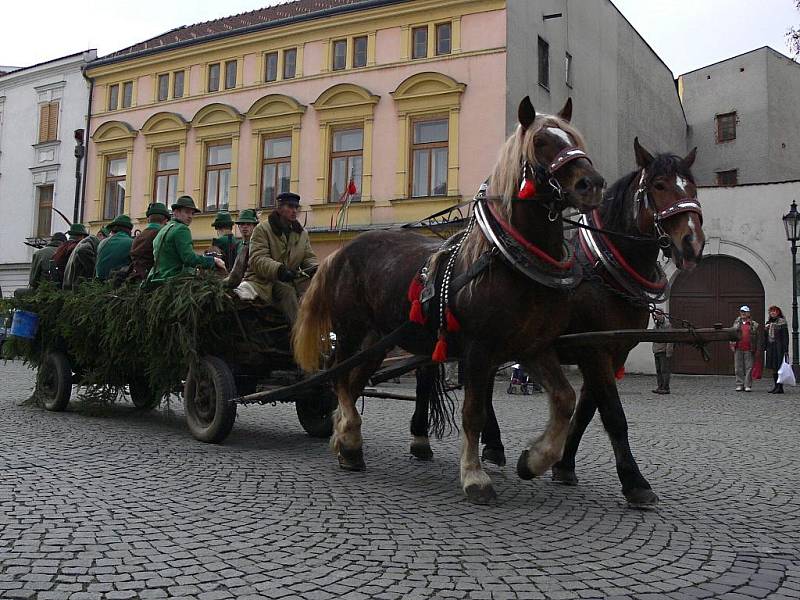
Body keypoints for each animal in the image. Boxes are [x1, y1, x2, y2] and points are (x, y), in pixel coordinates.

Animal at [296, 97, 604, 502]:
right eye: (540, 143)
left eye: (572, 138)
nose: (591, 184)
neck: (509, 261)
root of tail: (341, 251)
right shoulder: (478, 350)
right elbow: (473, 413)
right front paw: (474, 476)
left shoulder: (532, 348)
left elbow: (565, 399)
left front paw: (534, 460)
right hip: (350, 330)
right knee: (340, 380)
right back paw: (347, 439)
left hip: (378, 340)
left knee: (354, 380)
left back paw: (347, 444)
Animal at [410, 136, 704, 506]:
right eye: (659, 185)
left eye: (692, 185)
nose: (693, 242)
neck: (602, 269)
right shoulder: (593, 350)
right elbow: (613, 414)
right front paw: (635, 482)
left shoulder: (612, 351)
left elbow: (586, 410)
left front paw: (562, 465)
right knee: (428, 378)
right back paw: (422, 439)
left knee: (482, 387)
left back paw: (493, 446)